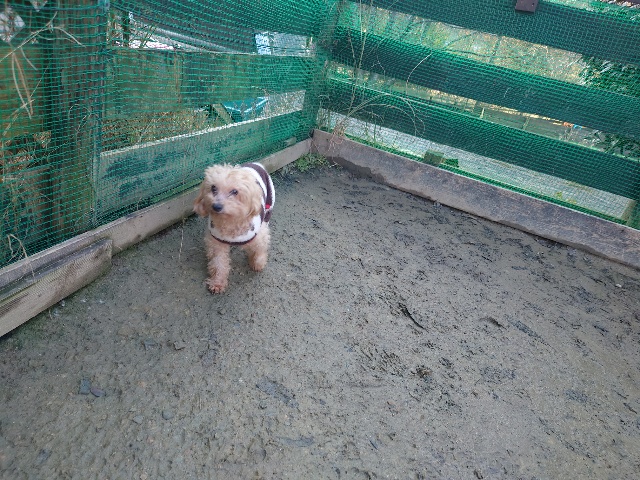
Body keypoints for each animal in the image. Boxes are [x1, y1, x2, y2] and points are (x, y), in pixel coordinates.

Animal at [193, 162, 274, 293]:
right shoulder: (217, 242)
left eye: (235, 191)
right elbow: (219, 262)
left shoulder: (259, 236)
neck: (231, 221)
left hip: (269, 206)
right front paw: (218, 282)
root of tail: (256, 163)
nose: (216, 206)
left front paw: (257, 263)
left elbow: (259, 250)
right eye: (213, 188)